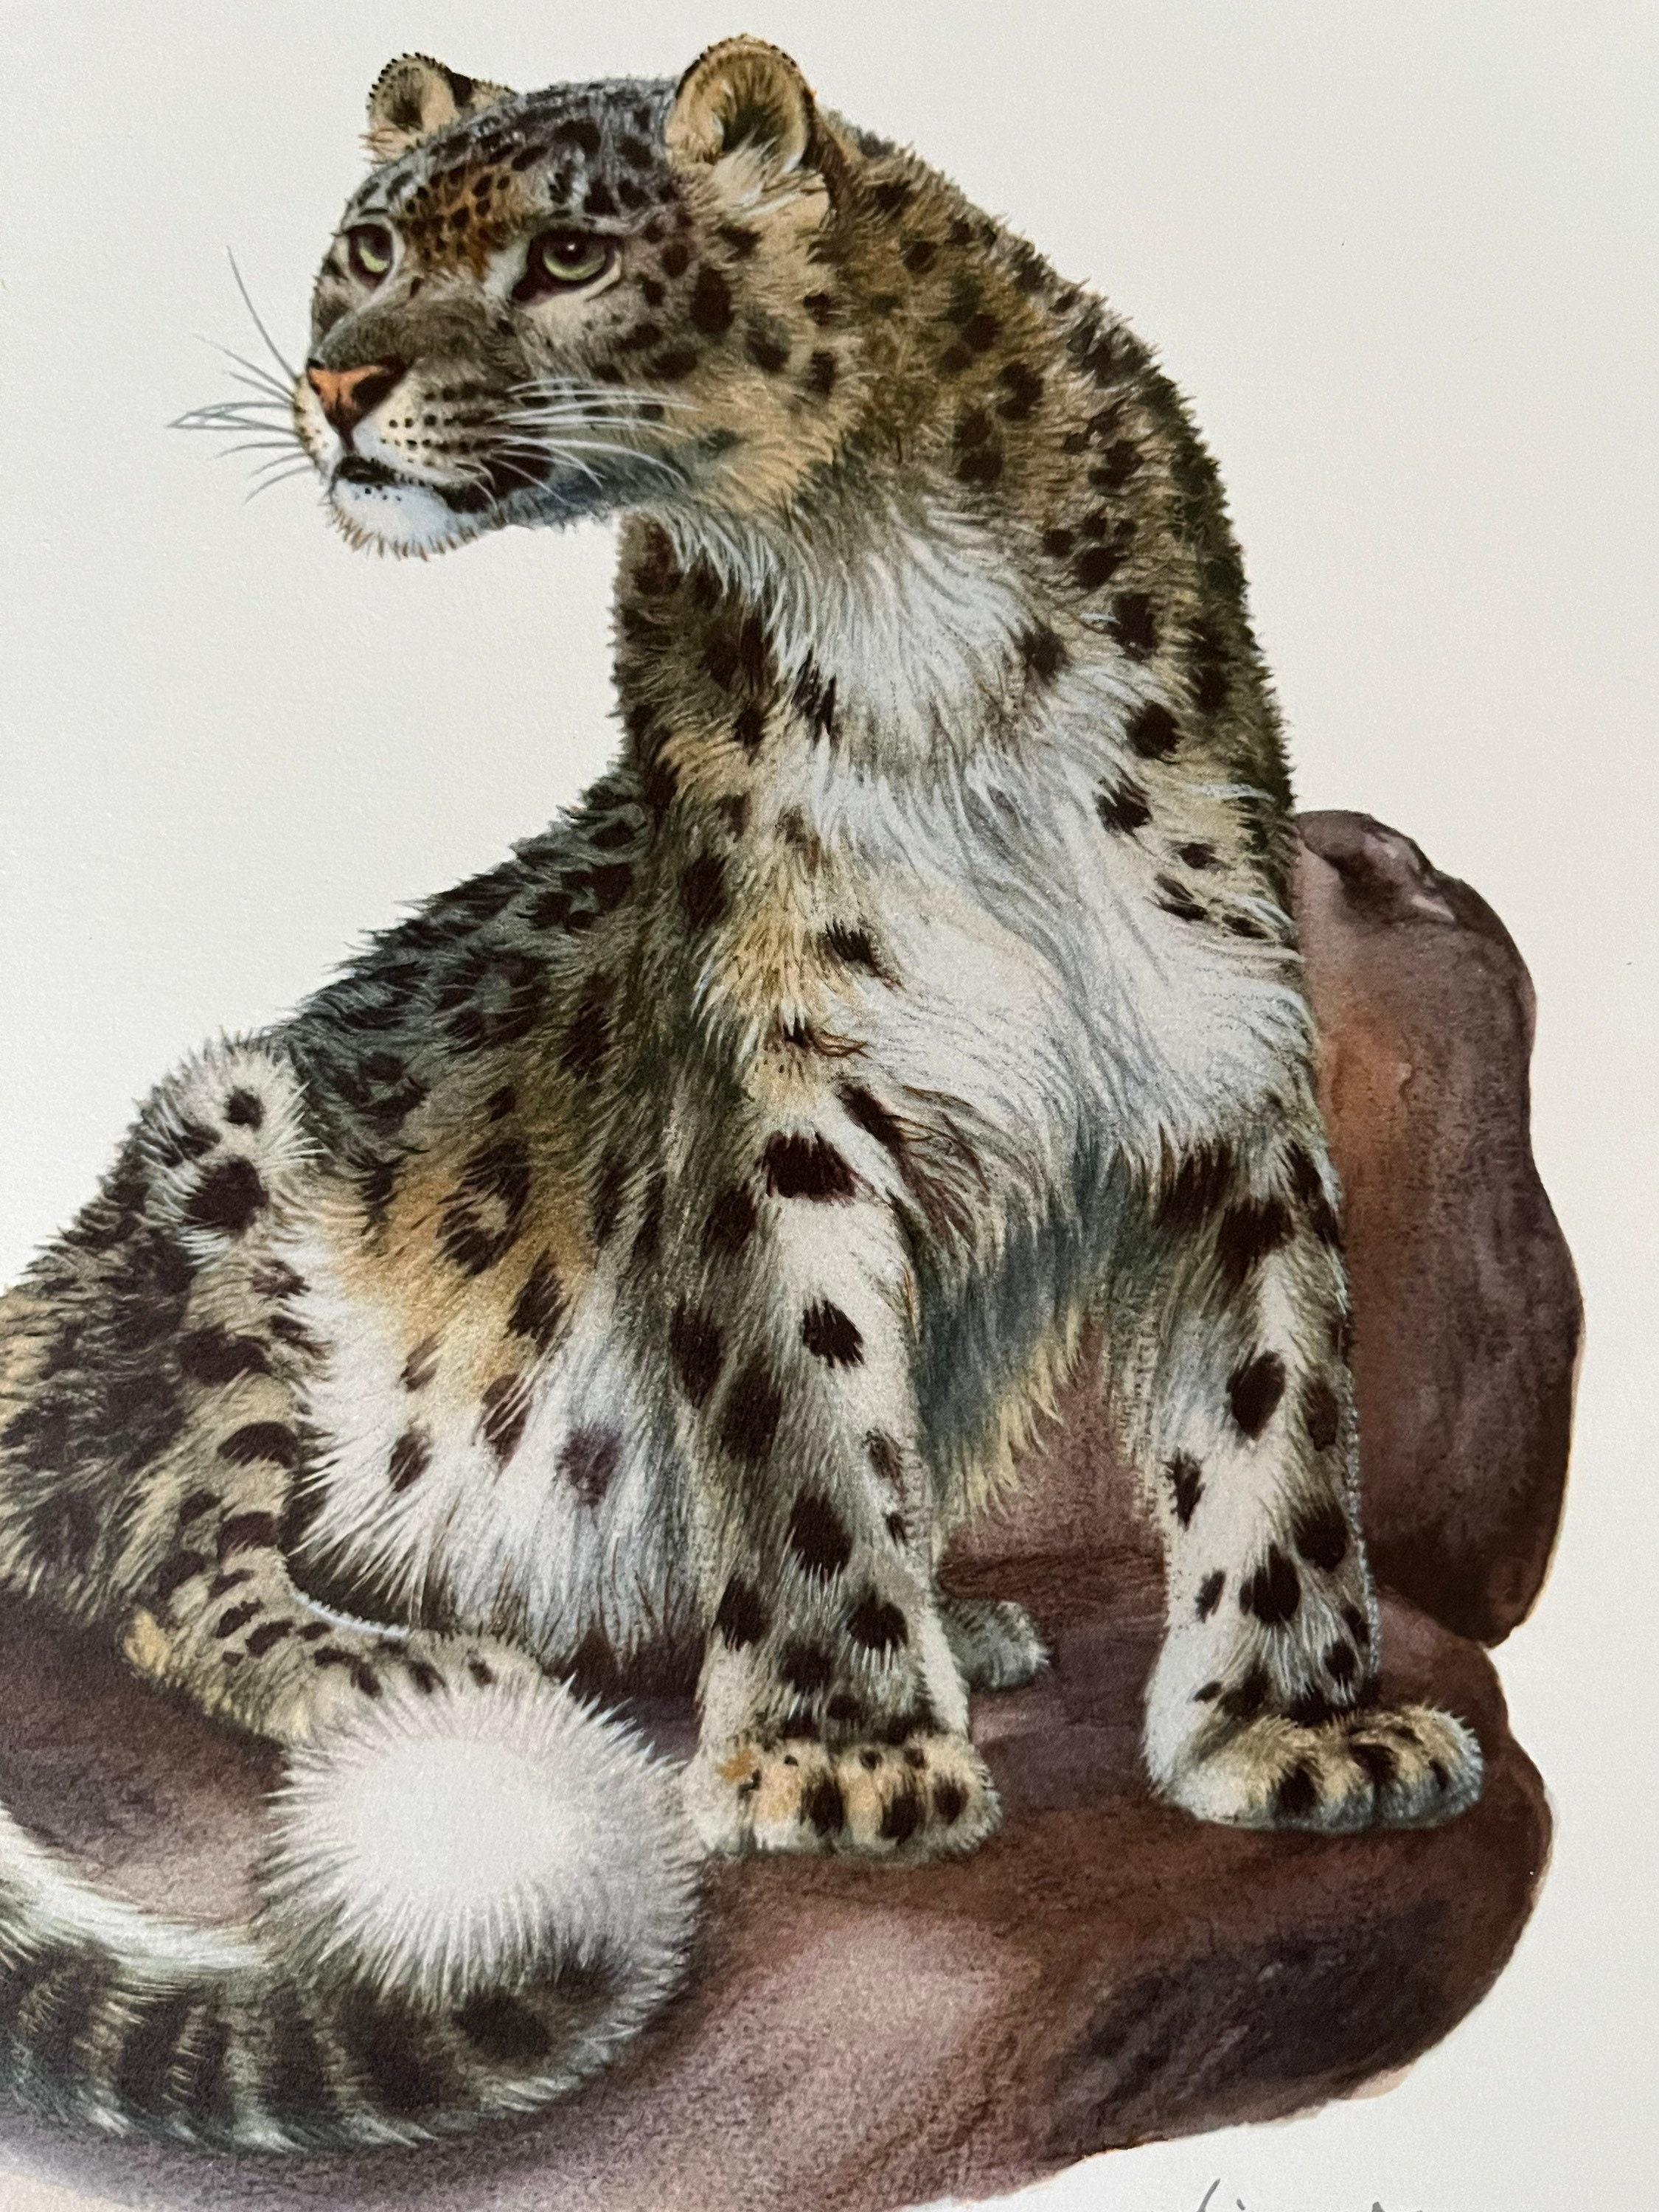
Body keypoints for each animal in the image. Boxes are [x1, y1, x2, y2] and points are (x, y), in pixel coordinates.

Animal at [0, 37, 1483, 2154]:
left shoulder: (1223, 1053)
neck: (903, 615)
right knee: (164, 1567)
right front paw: (845, 1760)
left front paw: (1294, 1730)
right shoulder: (767, 1088)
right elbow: (803, 1411)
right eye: (364, 251)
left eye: (561, 254)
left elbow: (1274, 1413)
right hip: (220, 1161)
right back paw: (405, 1657)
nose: (340, 383)